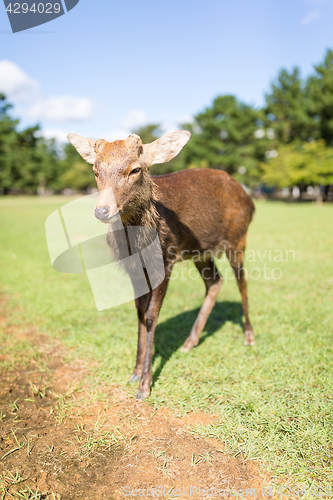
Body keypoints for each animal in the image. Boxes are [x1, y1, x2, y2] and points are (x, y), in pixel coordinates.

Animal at [67, 131, 254, 400]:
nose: (102, 210)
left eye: (135, 169)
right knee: (215, 281)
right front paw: (134, 372)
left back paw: (249, 336)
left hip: (238, 238)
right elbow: (139, 313)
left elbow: (151, 316)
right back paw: (189, 342)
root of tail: (250, 200)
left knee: (242, 282)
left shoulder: (166, 261)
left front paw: (144, 385)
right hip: (200, 251)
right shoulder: (134, 269)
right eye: (95, 170)